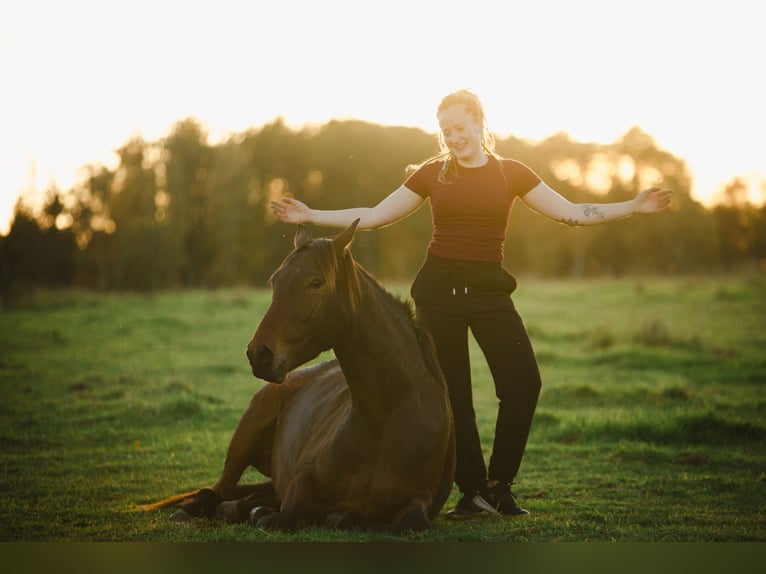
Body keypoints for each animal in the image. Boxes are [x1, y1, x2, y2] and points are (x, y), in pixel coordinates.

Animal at [142, 222, 456, 536]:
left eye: (315, 282)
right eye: (275, 281)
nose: (259, 354)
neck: (385, 420)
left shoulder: (421, 499)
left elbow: (409, 522)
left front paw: (341, 517)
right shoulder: (300, 482)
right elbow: (283, 515)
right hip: (245, 436)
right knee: (215, 491)